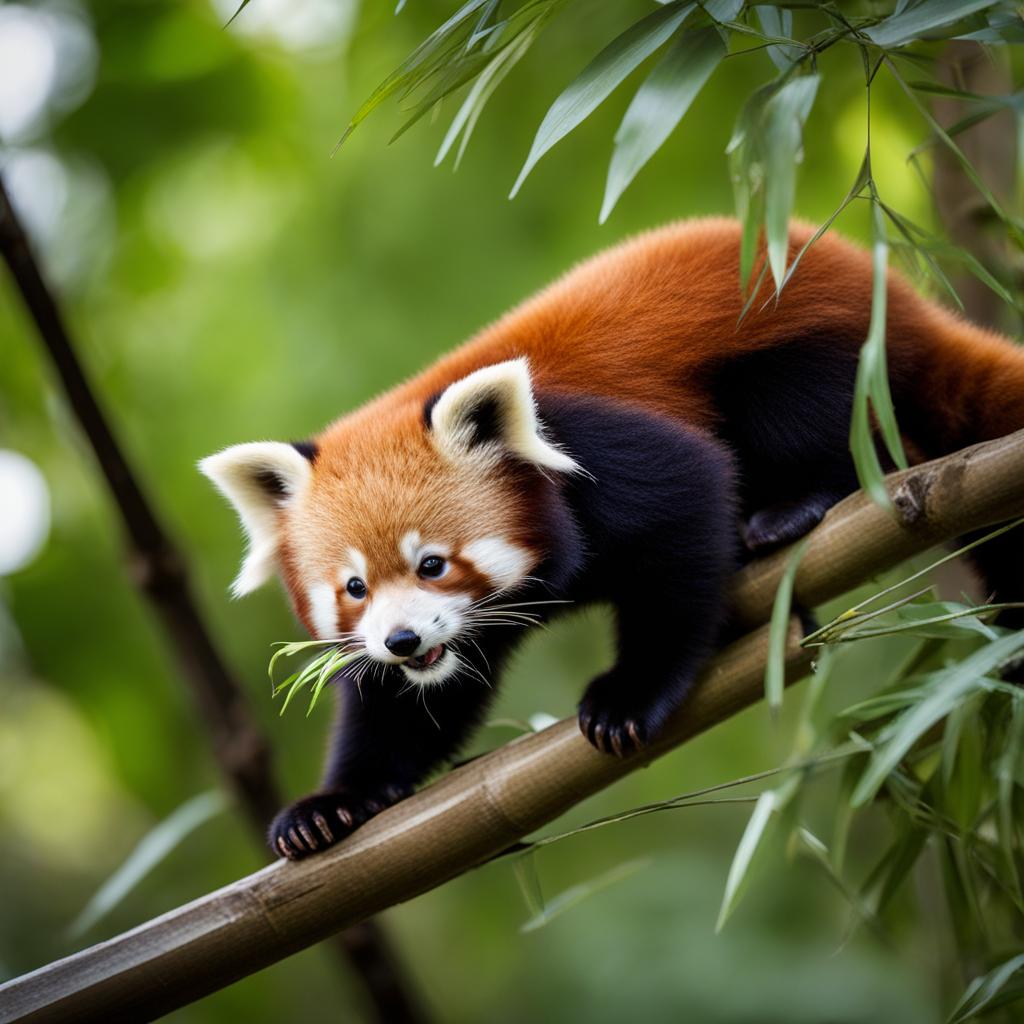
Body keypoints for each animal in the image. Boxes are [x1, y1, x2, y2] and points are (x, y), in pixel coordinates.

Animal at [199, 220, 1024, 860]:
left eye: (432, 564)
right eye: (355, 588)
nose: (402, 641)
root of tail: (889, 286)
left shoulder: (600, 447)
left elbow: (687, 512)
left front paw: (630, 694)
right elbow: (409, 706)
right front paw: (333, 804)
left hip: (811, 349)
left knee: (829, 426)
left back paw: (793, 508)